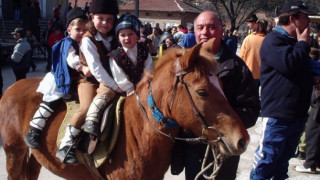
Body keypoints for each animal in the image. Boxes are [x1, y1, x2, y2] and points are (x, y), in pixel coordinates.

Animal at [0, 38, 249, 179]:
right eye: (202, 92)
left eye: (222, 86)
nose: (242, 140)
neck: (138, 129)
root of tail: (12, 87)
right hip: (14, 152)